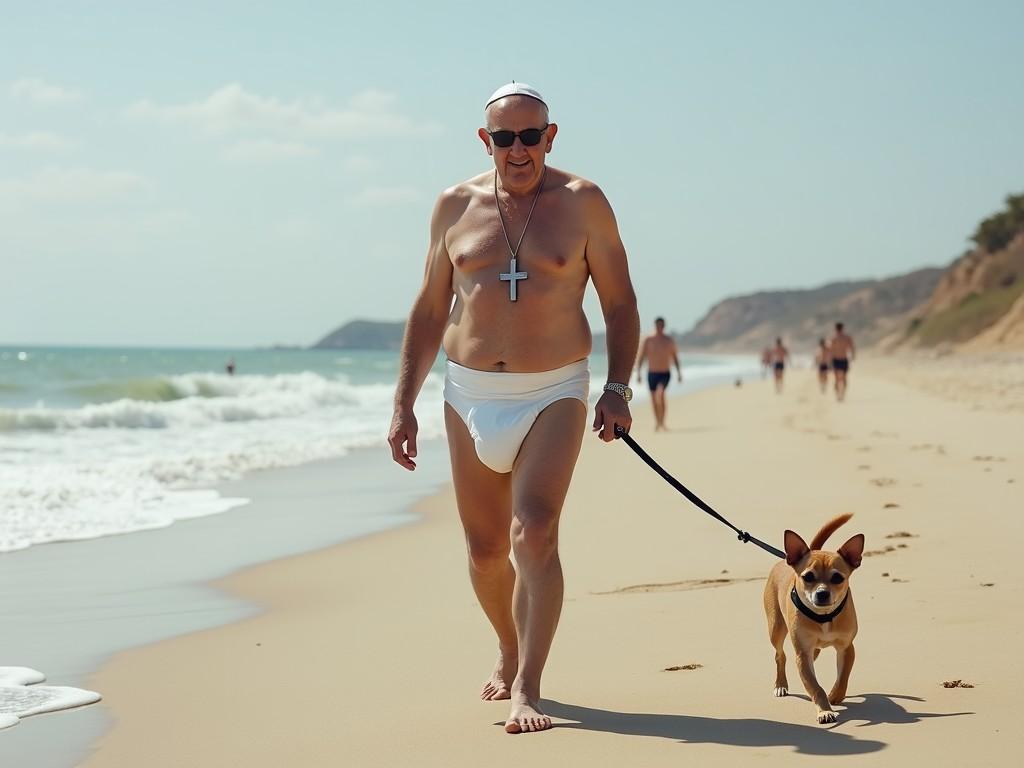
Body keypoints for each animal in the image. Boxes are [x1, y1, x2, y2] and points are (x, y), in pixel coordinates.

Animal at [761, 514, 864, 724]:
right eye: (808, 577)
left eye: (838, 578)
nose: (822, 593)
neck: (823, 617)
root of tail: (785, 560)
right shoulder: (802, 654)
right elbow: (815, 687)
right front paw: (825, 710)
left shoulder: (846, 648)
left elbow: (843, 677)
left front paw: (835, 696)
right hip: (776, 629)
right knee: (780, 655)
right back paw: (780, 684)